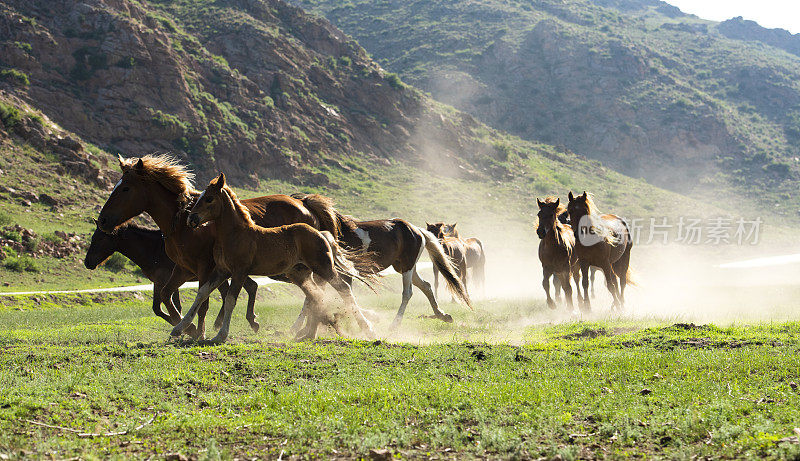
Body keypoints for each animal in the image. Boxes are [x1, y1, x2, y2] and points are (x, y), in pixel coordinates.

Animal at [81, 222, 258, 328]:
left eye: (100, 238)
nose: (87, 262)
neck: (153, 249)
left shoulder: (171, 280)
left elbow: (175, 305)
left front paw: (187, 327)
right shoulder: (158, 282)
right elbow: (157, 308)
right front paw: (181, 325)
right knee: (247, 287)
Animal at [173, 172, 376, 342]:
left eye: (209, 199)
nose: (191, 219)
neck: (235, 234)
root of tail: (322, 234)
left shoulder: (239, 272)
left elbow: (230, 300)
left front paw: (221, 335)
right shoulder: (222, 271)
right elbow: (202, 293)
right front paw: (178, 328)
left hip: (323, 267)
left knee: (343, 289)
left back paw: (367, 329)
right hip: (299, 273)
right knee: (316, 296)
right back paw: (308, 333)